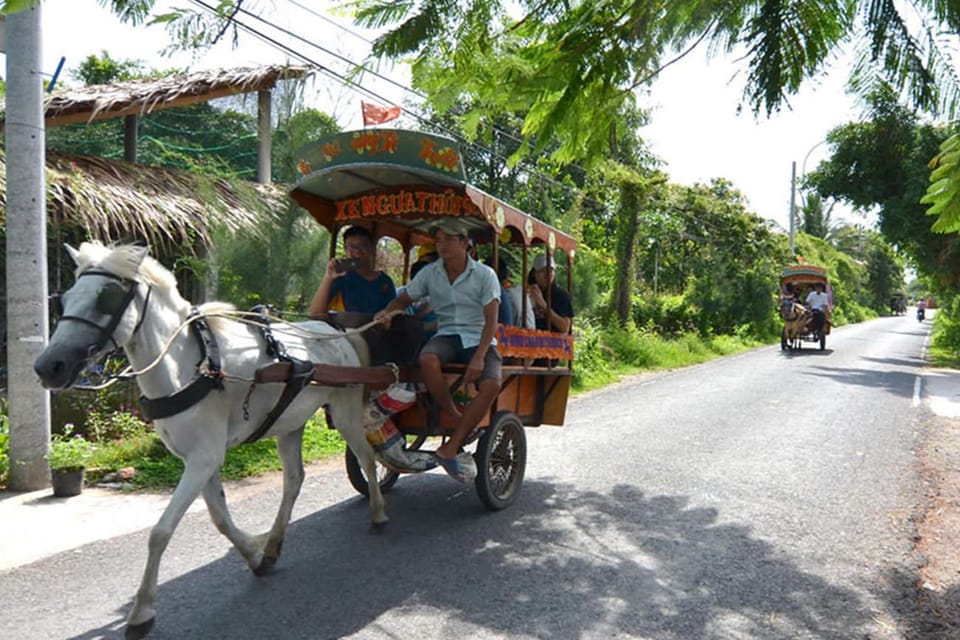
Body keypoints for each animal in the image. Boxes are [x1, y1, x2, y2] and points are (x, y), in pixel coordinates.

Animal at [34, 242, 386, 636]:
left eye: (106, 299)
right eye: (64, 300)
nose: (48, 367)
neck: (187, 365)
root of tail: (333, 328)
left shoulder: (204, 457)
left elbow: (161, 531)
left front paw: (142, 611)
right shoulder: (198, 459)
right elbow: (219, 517)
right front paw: (255, 557)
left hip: (345, 411)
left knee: (366, 457)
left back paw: (378, 513)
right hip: (289, 423)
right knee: (294, 479)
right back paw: (274, 543)